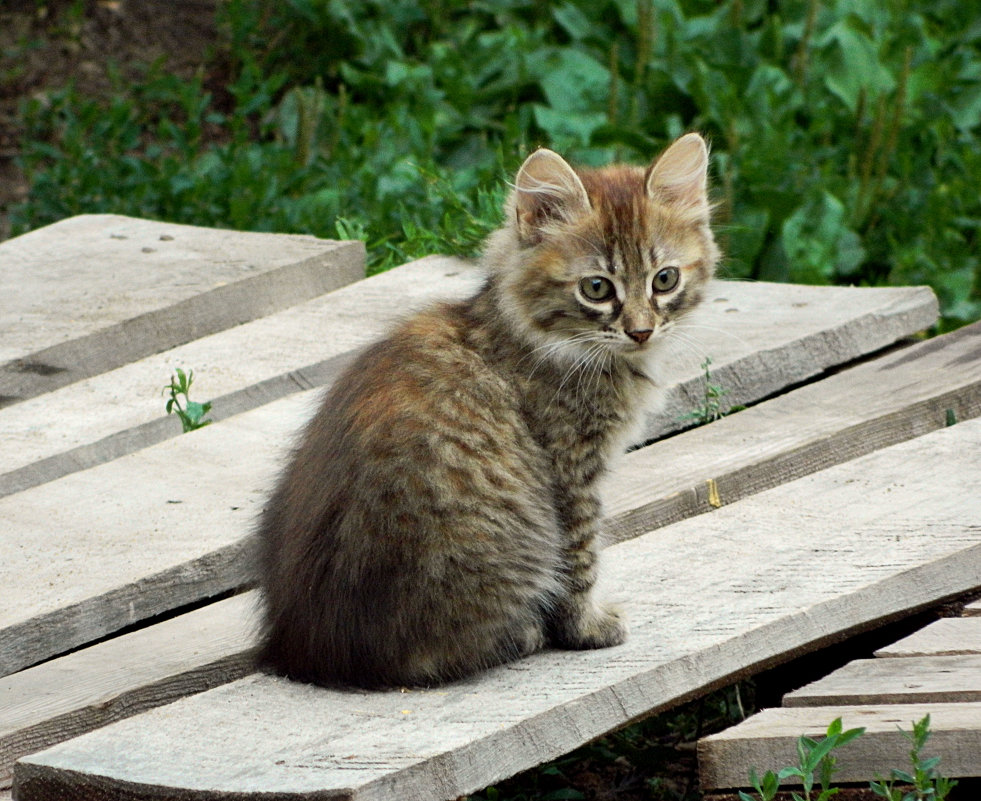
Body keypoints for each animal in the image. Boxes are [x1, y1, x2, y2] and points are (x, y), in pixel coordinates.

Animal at [258, 133, 720, 688]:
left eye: (664, 280)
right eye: (597, 288)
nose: (641, 331)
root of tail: (305, 652)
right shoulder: (570, 472)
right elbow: (580, 558)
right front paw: (586, 629)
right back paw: (524, 633)